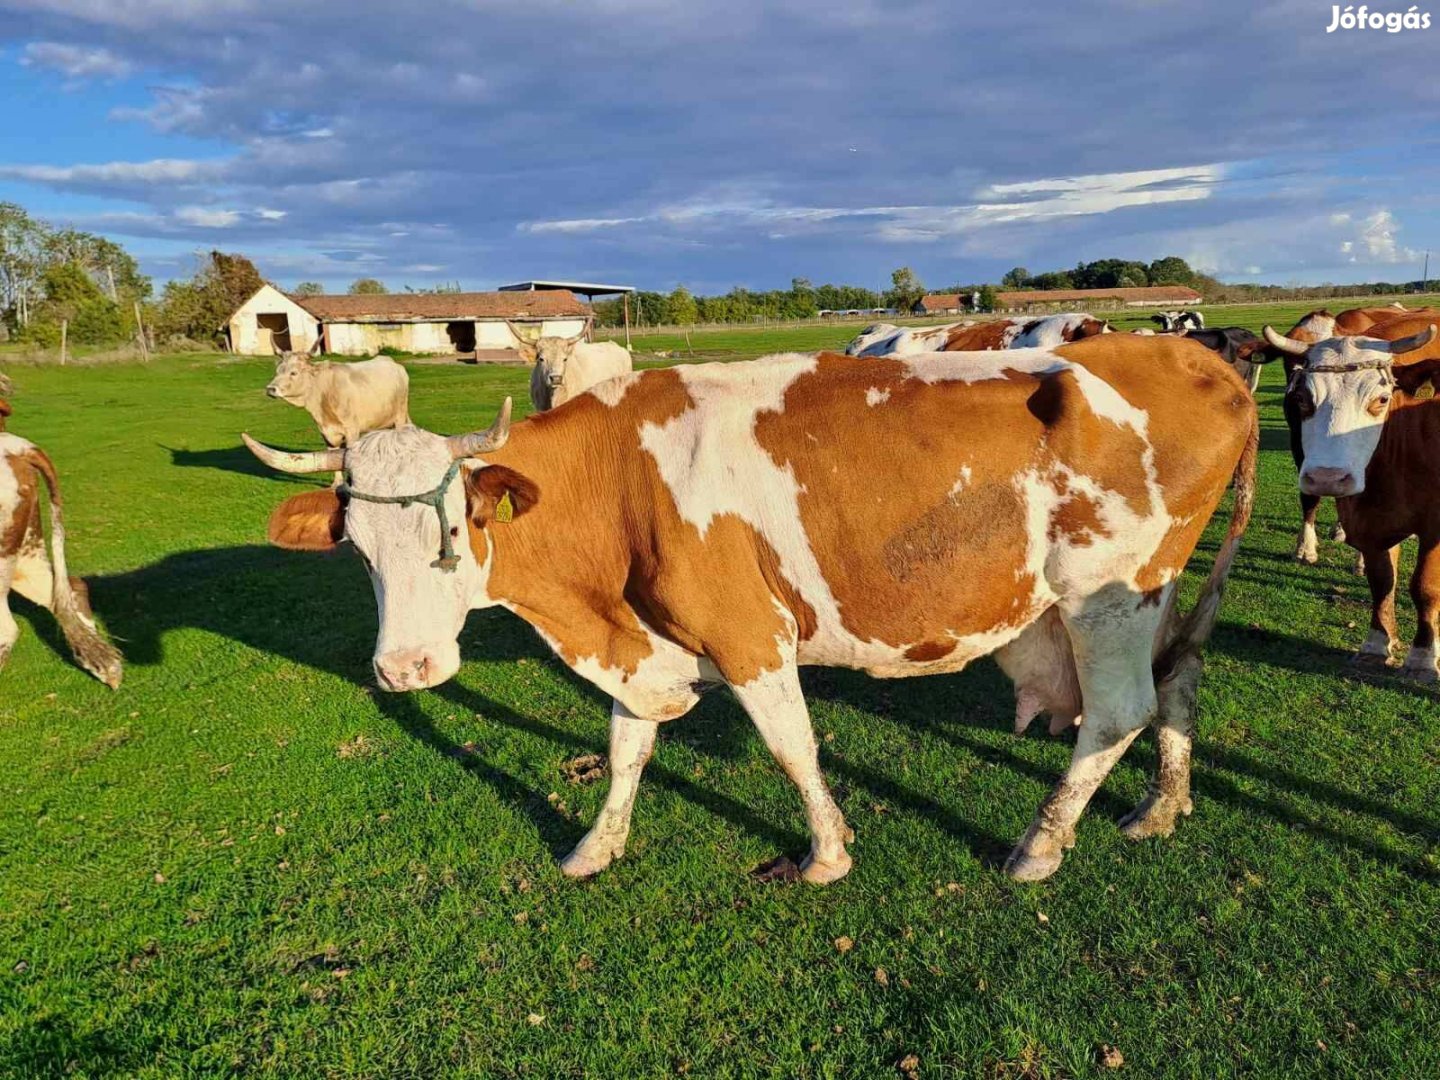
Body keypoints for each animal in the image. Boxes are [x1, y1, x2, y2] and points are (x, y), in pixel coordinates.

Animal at [1267, 319, 1434, 676]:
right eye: (1301, 398)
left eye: (1382, 399)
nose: (1327, 478)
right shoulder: (1367, 520)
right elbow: (1382, 580)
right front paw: (1376, 644)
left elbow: (1425, 586)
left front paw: (1423, 658)